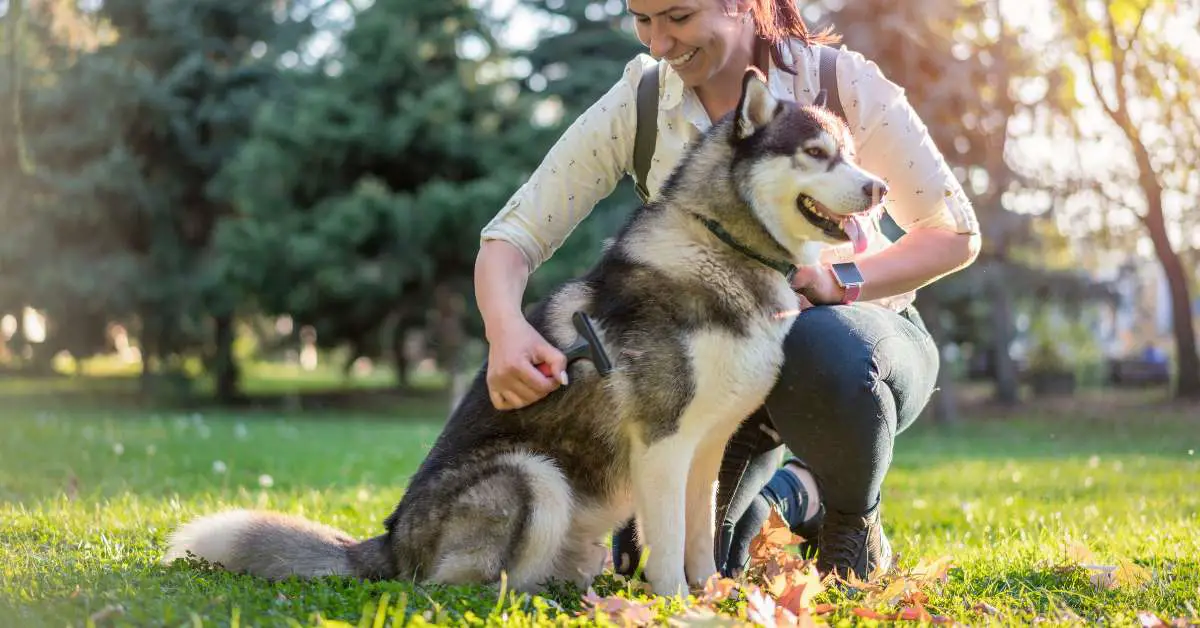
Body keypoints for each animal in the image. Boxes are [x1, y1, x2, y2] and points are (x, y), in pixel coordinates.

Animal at [164, 71, 888, 597]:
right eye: (817, 154)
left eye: (852, 155)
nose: (879, 187)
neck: (723, 248)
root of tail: (392, 540)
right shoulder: (661, 444)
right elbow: (667, 550)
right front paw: (680, 607)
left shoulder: (705, 448)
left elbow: (699, 537)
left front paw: (714, 594)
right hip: (531, 476)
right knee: (447, 589)